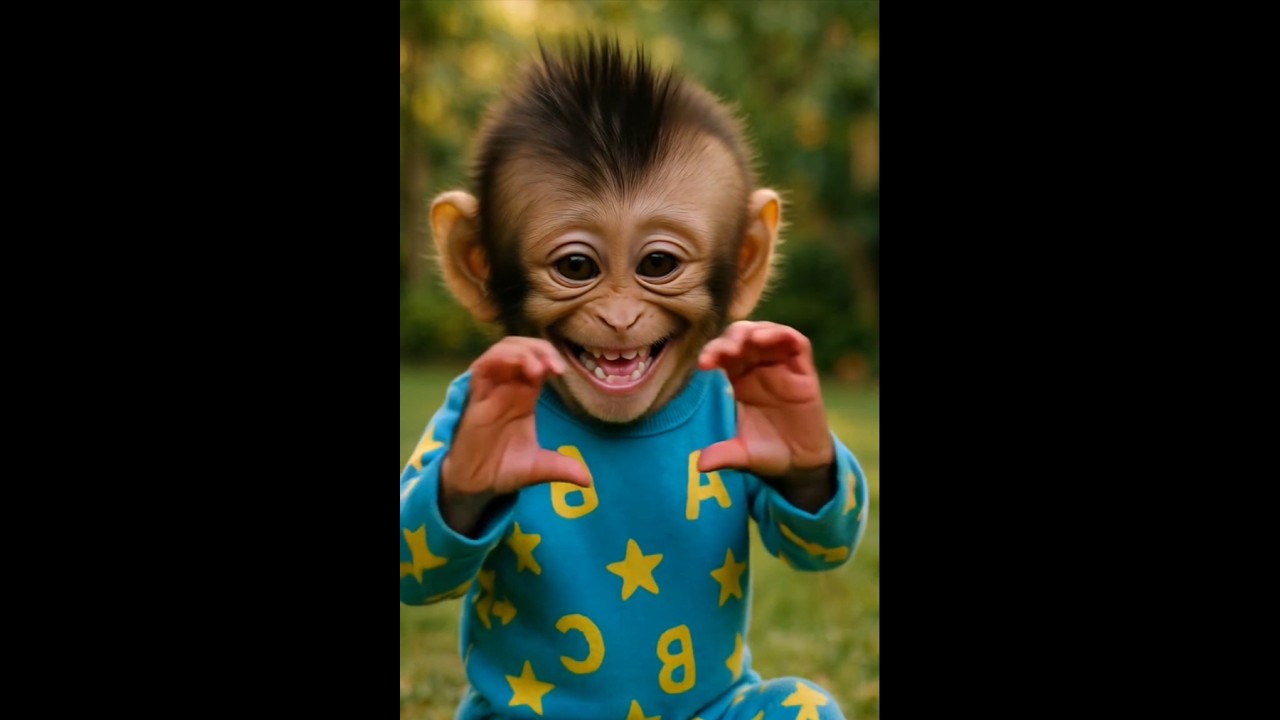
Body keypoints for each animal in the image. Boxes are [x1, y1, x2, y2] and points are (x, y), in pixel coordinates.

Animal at [401, 39, 869, 720]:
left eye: (658, 264)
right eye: (577, 267)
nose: (619, 319)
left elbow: (817, 538)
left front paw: (785, 413)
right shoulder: (455, 401)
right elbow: (419, 550)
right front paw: (486, 451)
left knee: (798, 698)